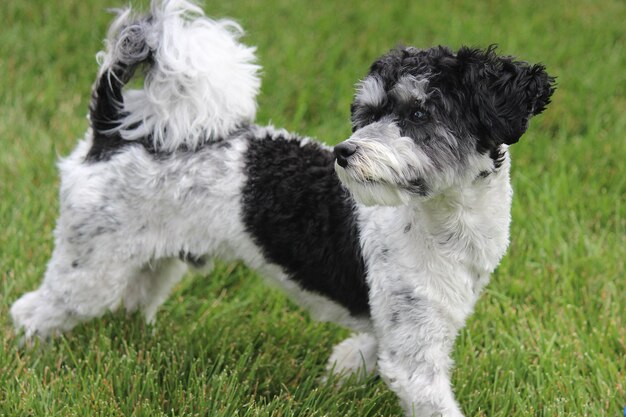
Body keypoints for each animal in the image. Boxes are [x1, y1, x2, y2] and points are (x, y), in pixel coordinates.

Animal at [9, 1, 552, 414]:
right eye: (367, 114)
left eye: (420, 114)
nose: (344, 152)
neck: (442, 220)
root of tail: (114, 133)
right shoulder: (415, 359)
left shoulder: (404, 326)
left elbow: (364, 348)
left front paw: (341, 373)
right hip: (89, 270)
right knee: (32, 310)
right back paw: (30, 355)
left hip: (151, 260)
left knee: (132, 301)